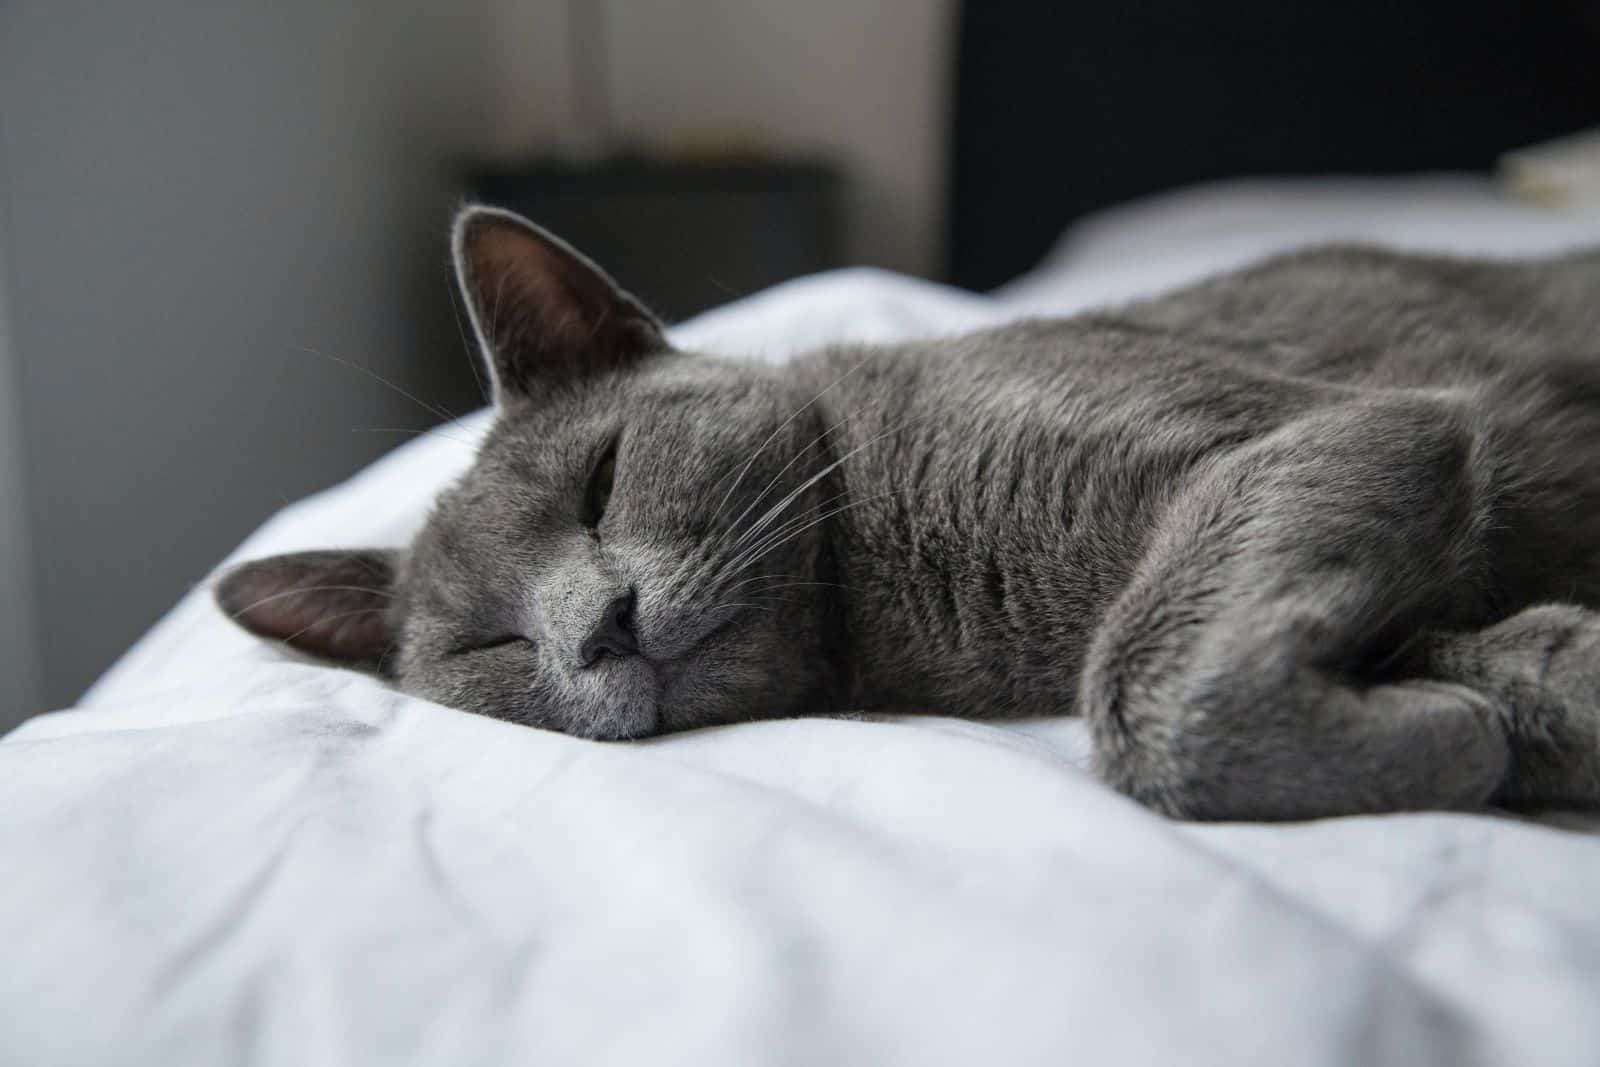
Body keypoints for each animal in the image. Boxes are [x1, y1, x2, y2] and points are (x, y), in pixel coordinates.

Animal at [216, 204, 1600, 825]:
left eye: (601, 481)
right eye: (491, 646)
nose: (597, 626)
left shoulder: (1328, 430)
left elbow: (1146, 679)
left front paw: (1461, 736)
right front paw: (1484, 719)